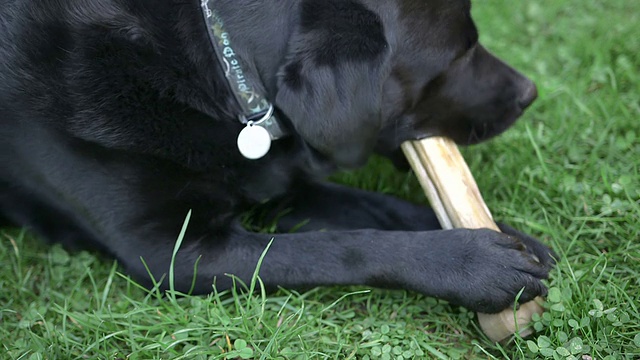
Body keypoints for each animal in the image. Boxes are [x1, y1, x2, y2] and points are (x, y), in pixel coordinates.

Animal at [0, 0, 552, 314]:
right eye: (460, 53)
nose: (530, 92)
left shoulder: (282, 183)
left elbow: (382, 211)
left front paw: (514, 238)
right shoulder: (171, 252)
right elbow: (343, 246)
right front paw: (474, 265)